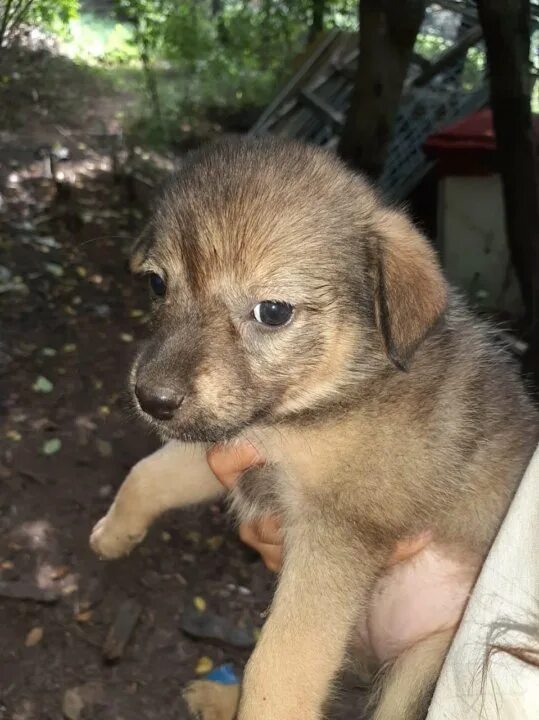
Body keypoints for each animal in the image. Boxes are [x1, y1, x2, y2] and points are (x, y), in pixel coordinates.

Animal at [89, 138, 539, 716]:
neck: (318, 405)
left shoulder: (336, 532)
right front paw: (113, 532)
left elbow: (277, 667)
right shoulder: (229, 441)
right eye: (156, 284)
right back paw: (217, 696)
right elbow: (146, 473)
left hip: (426, 664)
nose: (151, 399)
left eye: (273, 311)